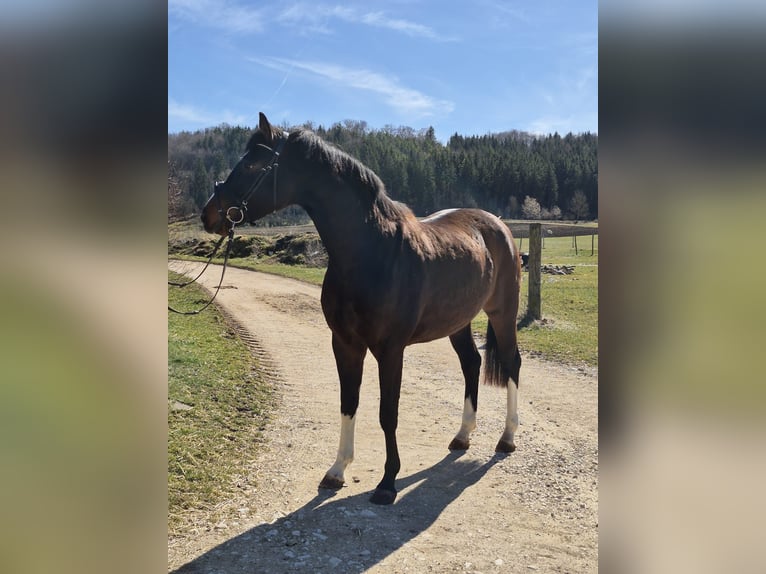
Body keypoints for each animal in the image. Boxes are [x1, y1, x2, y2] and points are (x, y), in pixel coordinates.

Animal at [202, 113, 522, 505]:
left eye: (251, 163)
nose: (208, 214)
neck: (371, 251)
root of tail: (498, 226)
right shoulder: (345, 344)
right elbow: (348, 403)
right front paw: (337, 470)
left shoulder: (391, 350)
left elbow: (388, 414)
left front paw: (387, 483)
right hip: (457, 321)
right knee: (471, 363)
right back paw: (463, 435)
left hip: (503, 312)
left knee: (511, 363)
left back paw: (507, 438)